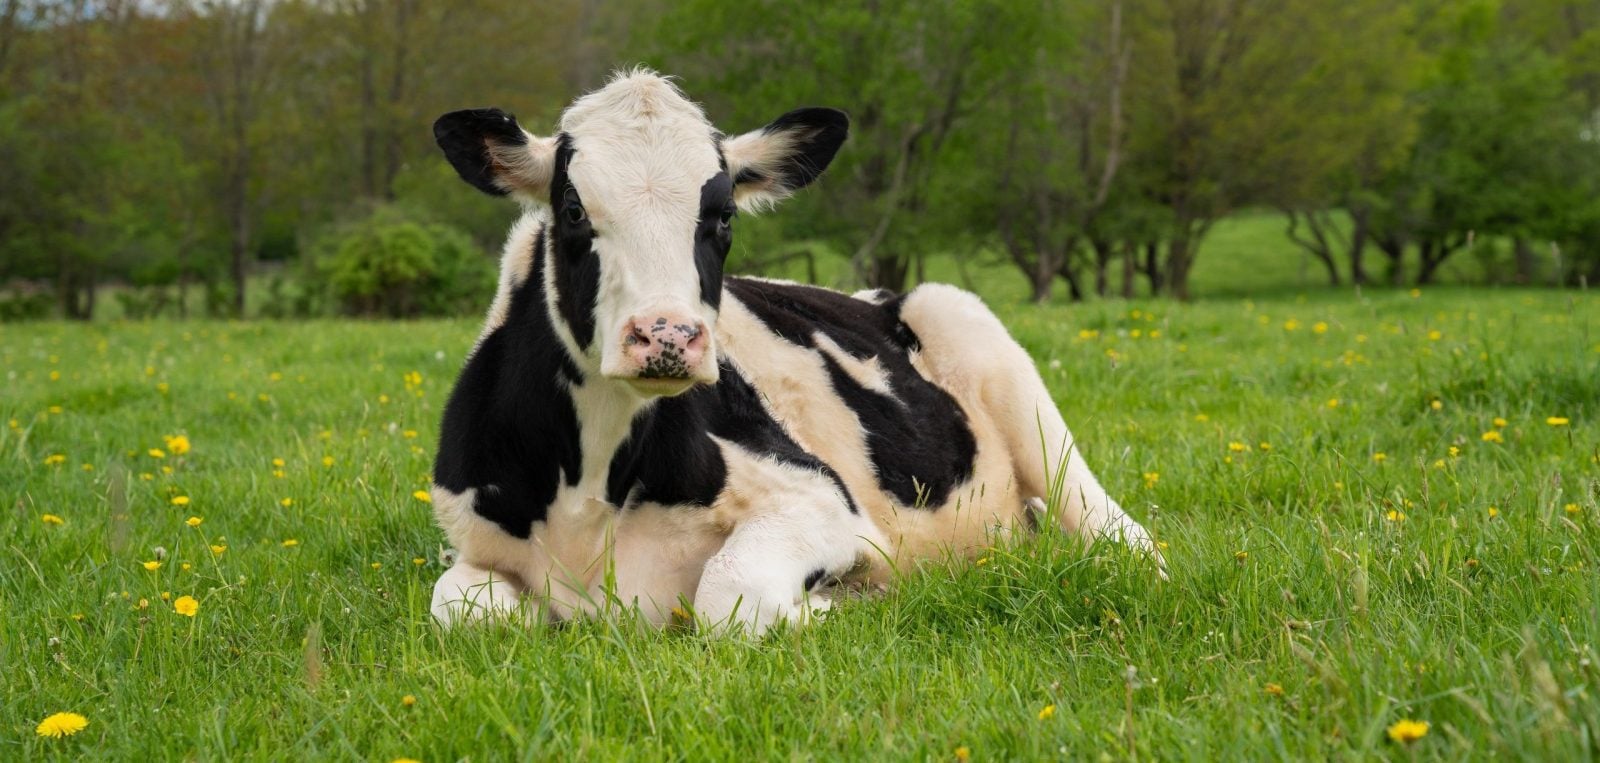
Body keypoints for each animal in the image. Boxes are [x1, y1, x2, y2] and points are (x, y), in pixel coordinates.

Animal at [428, 69, 1161, 635]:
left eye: (722, 217)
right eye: (574, 210)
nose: (668, 336)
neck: (587, 494)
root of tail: (876, 295)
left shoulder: (824, 503)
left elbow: (732, 596)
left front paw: (843, 602)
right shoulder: (473, 538)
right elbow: (461, 607)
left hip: (984, 344)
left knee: (1119, 532)